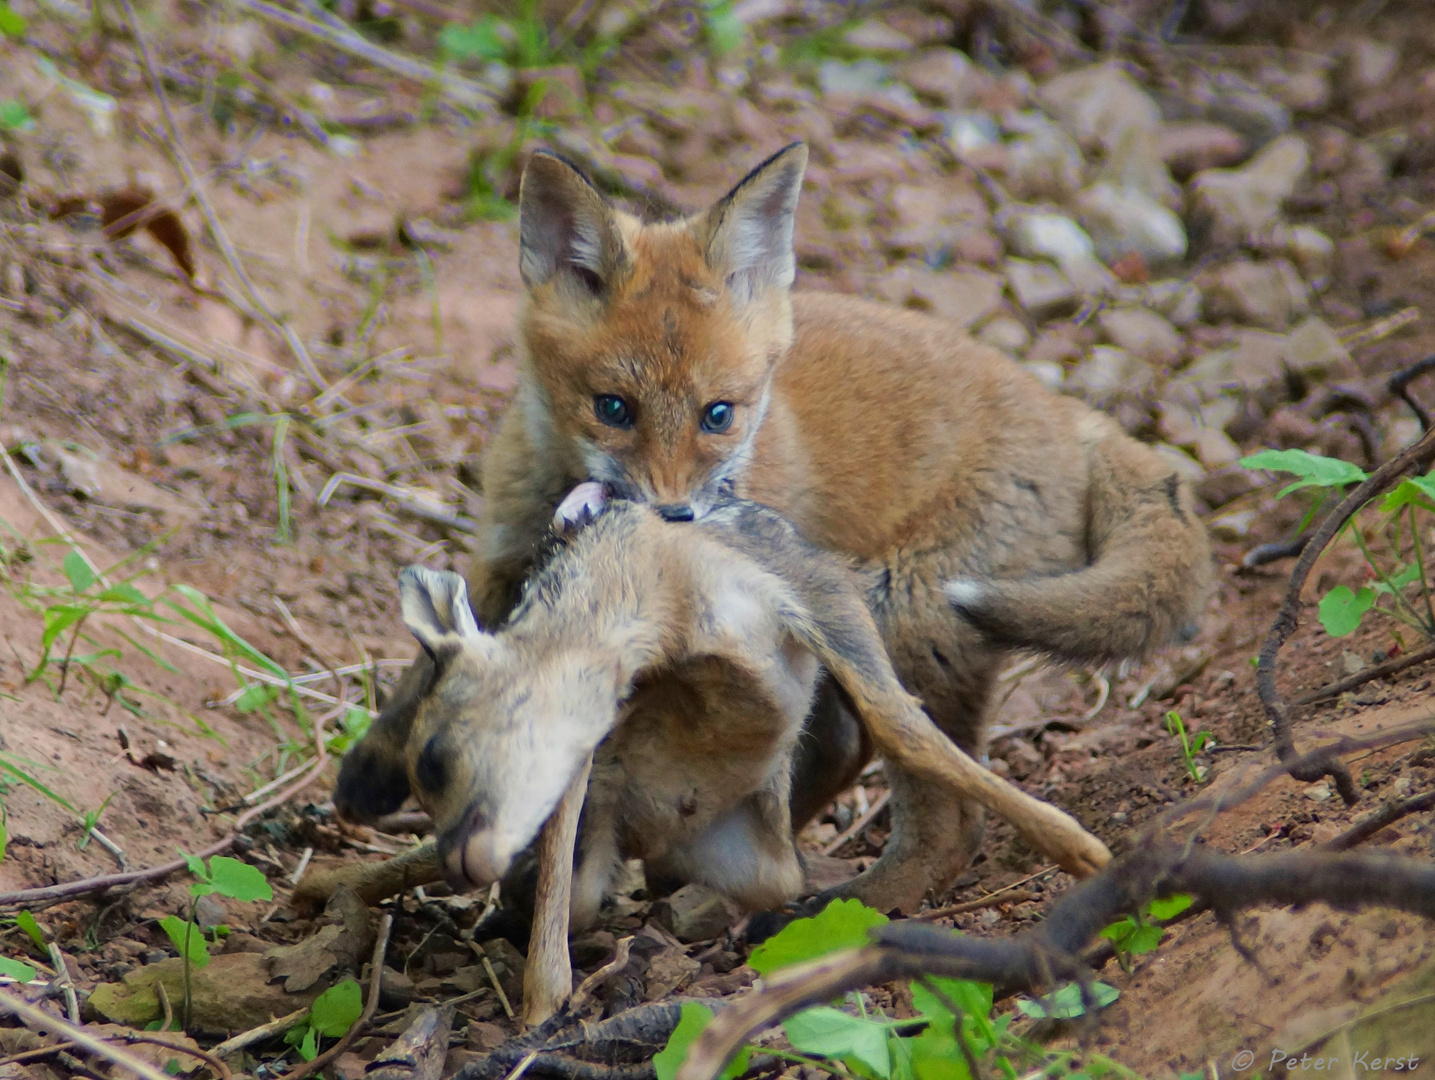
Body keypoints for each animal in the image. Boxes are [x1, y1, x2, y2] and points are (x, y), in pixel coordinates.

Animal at [341, 141, 1205, 917]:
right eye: (612, 408)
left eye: (717, 415)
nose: (671, 517)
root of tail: (1074, 416)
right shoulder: (497, 563)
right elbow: (430, 673)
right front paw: (376, 765)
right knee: (851, 753)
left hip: (903, 613)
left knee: (942, 814)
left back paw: (843, 907)